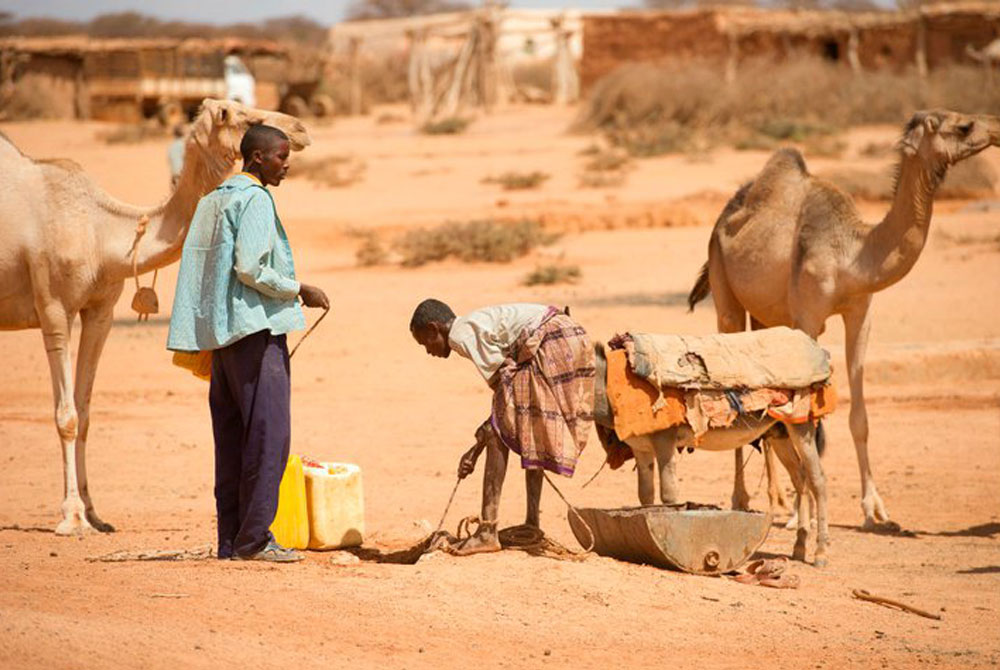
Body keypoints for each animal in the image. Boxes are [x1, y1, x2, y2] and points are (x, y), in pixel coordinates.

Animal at [0, 100, 308, 540]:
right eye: (242, 115)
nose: (300, 129)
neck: (101, 233)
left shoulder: (101, 310)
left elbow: (86, 413)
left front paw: (94, 513)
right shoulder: (54, 307)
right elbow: (67, 416)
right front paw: (72, 516)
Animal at [688, 109, 1000, 532]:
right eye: (963, 126)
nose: (996, 129)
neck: (852, 256)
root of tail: (724, 216)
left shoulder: (860, 314)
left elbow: (859, 416)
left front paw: (875, 510)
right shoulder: (807, 318)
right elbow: (807, 417)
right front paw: (801, 514)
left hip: (766, 317)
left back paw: (777, 498)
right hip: (726, 296)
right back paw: (744, 498)